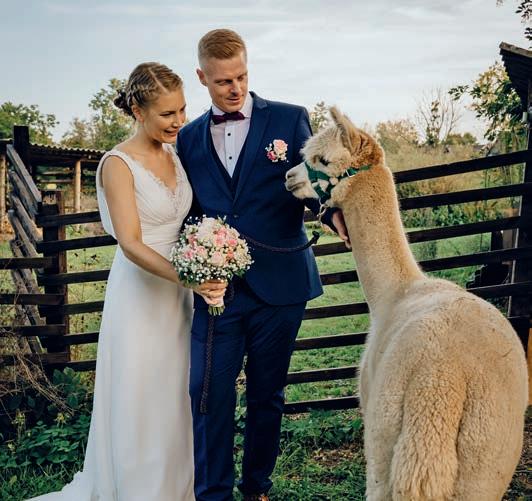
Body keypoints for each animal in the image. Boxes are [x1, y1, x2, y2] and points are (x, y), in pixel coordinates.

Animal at [285, 107, 528, 501]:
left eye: (322, 159)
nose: (289, 177)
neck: (395, 292)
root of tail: (442, 382)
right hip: (488, 458)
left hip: (384, 438)